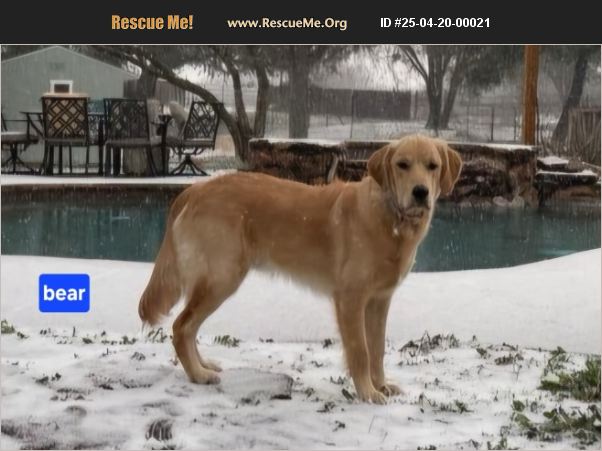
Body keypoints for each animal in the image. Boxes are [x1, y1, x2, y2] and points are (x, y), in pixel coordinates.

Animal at [139, 134, 462, 404]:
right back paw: (197, 374)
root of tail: (195, 189)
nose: (420, 192)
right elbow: (360, 350)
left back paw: (203, 364)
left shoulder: (380, 300)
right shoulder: (351, 298)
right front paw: (368, 393)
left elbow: (378, 348)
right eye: (402, 165)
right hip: (222, 278)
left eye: (432, 166)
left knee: (189, 327)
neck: (391, 218)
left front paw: (381, 385)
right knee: (181, 326)